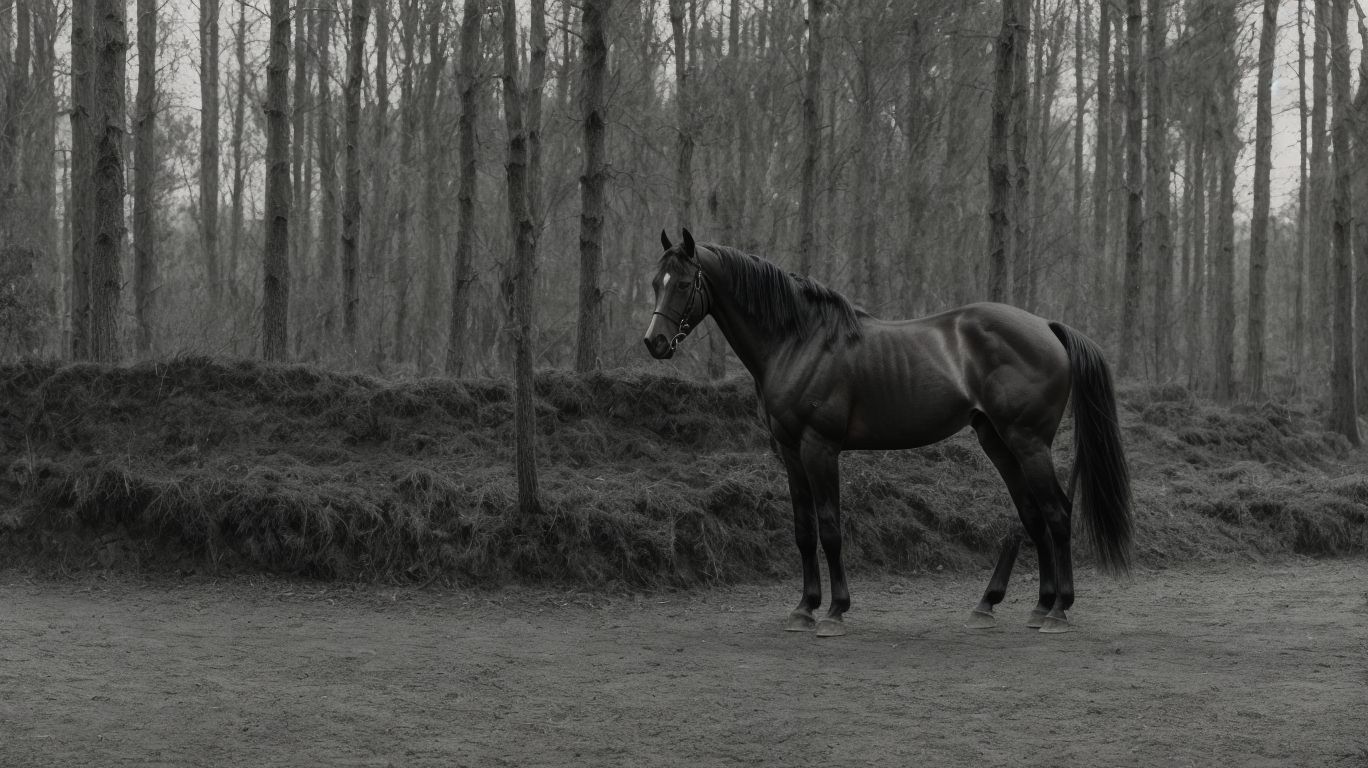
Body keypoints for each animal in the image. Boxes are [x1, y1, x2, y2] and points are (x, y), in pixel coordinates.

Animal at [644, 229, 1133, 637]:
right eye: (655, 282)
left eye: (684, 284)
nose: (654, 343)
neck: (799, 342)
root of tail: (1047, 327)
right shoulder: (789, 451)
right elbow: (803, 530)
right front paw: (804, 608)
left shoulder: (819, 448)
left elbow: (830, 528)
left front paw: (834, 612)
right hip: (998, 441)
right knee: (1033, 515)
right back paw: (1026, 606)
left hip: (1028, 442)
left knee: (1056, 513)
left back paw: (1058, 611)